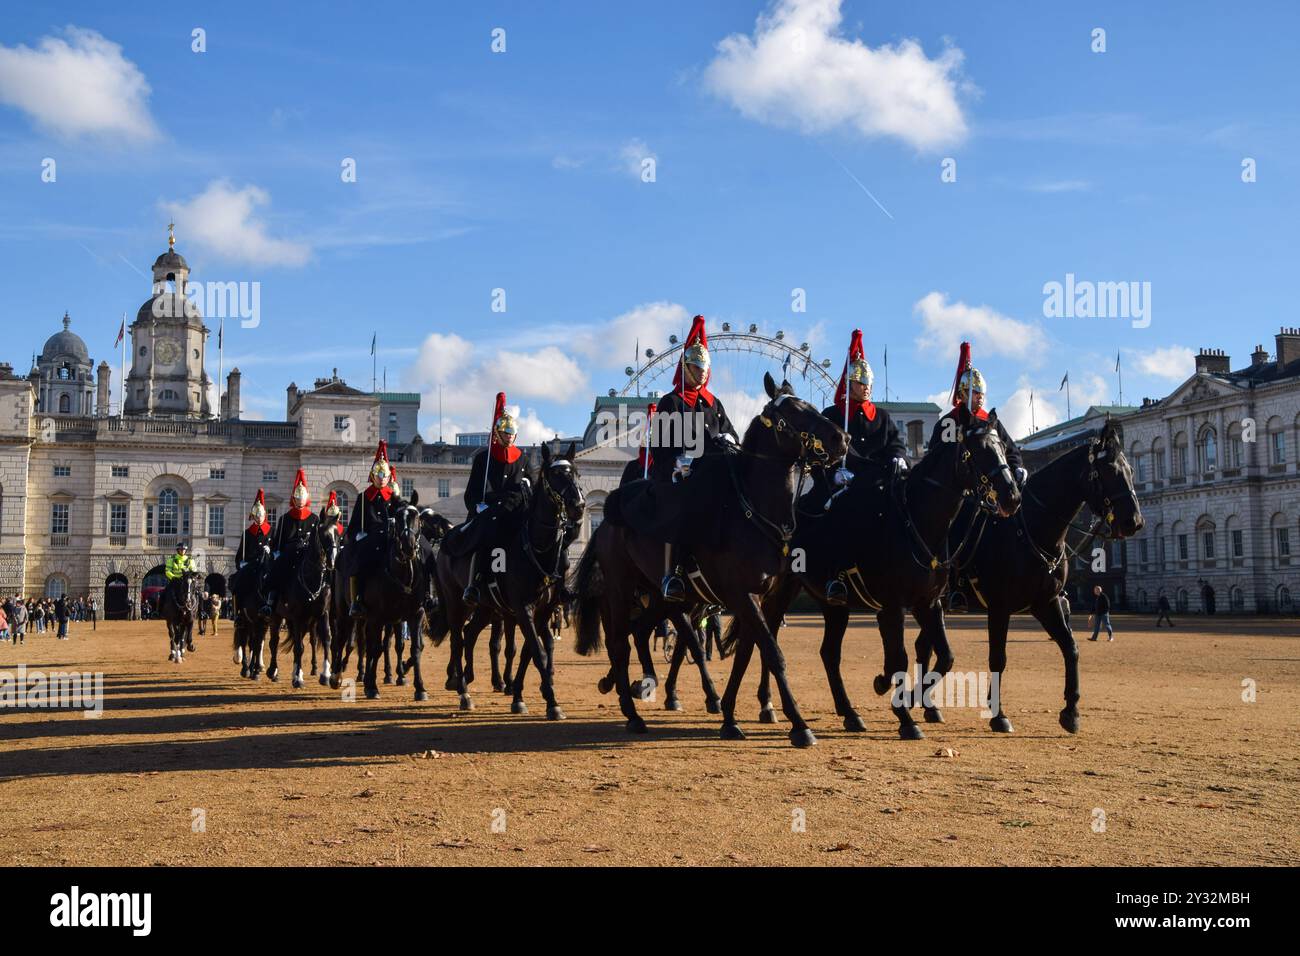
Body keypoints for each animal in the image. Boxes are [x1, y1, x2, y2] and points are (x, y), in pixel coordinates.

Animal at [265, 509, 340, 686]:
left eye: (338, 535)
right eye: (324, 534)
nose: (332, 563)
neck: (312, 578)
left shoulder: (323, 614)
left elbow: (326, 640)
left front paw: (325, 675)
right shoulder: (297, 616)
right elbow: (298, 647)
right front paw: (298, 678)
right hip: (276, 617)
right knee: (274, 642)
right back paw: (273, 671)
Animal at [431, 442, 585, 717]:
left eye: (576, 472)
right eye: (555, 474)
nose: (578, 506)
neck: (536, 547)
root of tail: (447, 538)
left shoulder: (542, 611)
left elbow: (529, 651)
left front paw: (519, 695)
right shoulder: (522, 608)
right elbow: (536, 651)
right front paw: (551, 701)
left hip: (485, 607)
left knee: (470, 634)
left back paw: (468, 678)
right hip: (457, 603)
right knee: (457, 639)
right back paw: (462, 691)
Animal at [574, 374, 847, 749]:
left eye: (809, 405)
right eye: (792, 411)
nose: (842, 439)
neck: (751, 509)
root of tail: (609, 516)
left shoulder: (759, 597)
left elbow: (747, 653)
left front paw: (730, 715)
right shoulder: (740, 595)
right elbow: (771, 653)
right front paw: (799, 725)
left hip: (657, 595)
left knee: (639, 632)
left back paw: (637, 687)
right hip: (620, 588)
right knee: (619, 643)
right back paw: (632, 713)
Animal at [733, 403, 1024, 738]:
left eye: (1001, 446)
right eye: (976, 450)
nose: (1012, 497)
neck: (916, 520)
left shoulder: (928, 604)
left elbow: (945, 657)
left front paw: (901, 695)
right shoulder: (894, 606)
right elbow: (899, 657)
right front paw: (905, 715)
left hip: (834, 605)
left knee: (828, 653)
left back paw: (848, 712)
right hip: (780, 591)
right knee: (767, 639)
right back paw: (768, 705)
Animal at [920, 411, 1144, 733]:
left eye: (1130, 469)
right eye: (1111, 470)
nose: (1134, 521)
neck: (1032, 530)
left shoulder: (1046, 603)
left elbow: (1071, 647)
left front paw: (1071, 712)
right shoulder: (999, 607)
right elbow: (998, 658)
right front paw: (998, 715)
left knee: (924, 647)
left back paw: (928, 706)